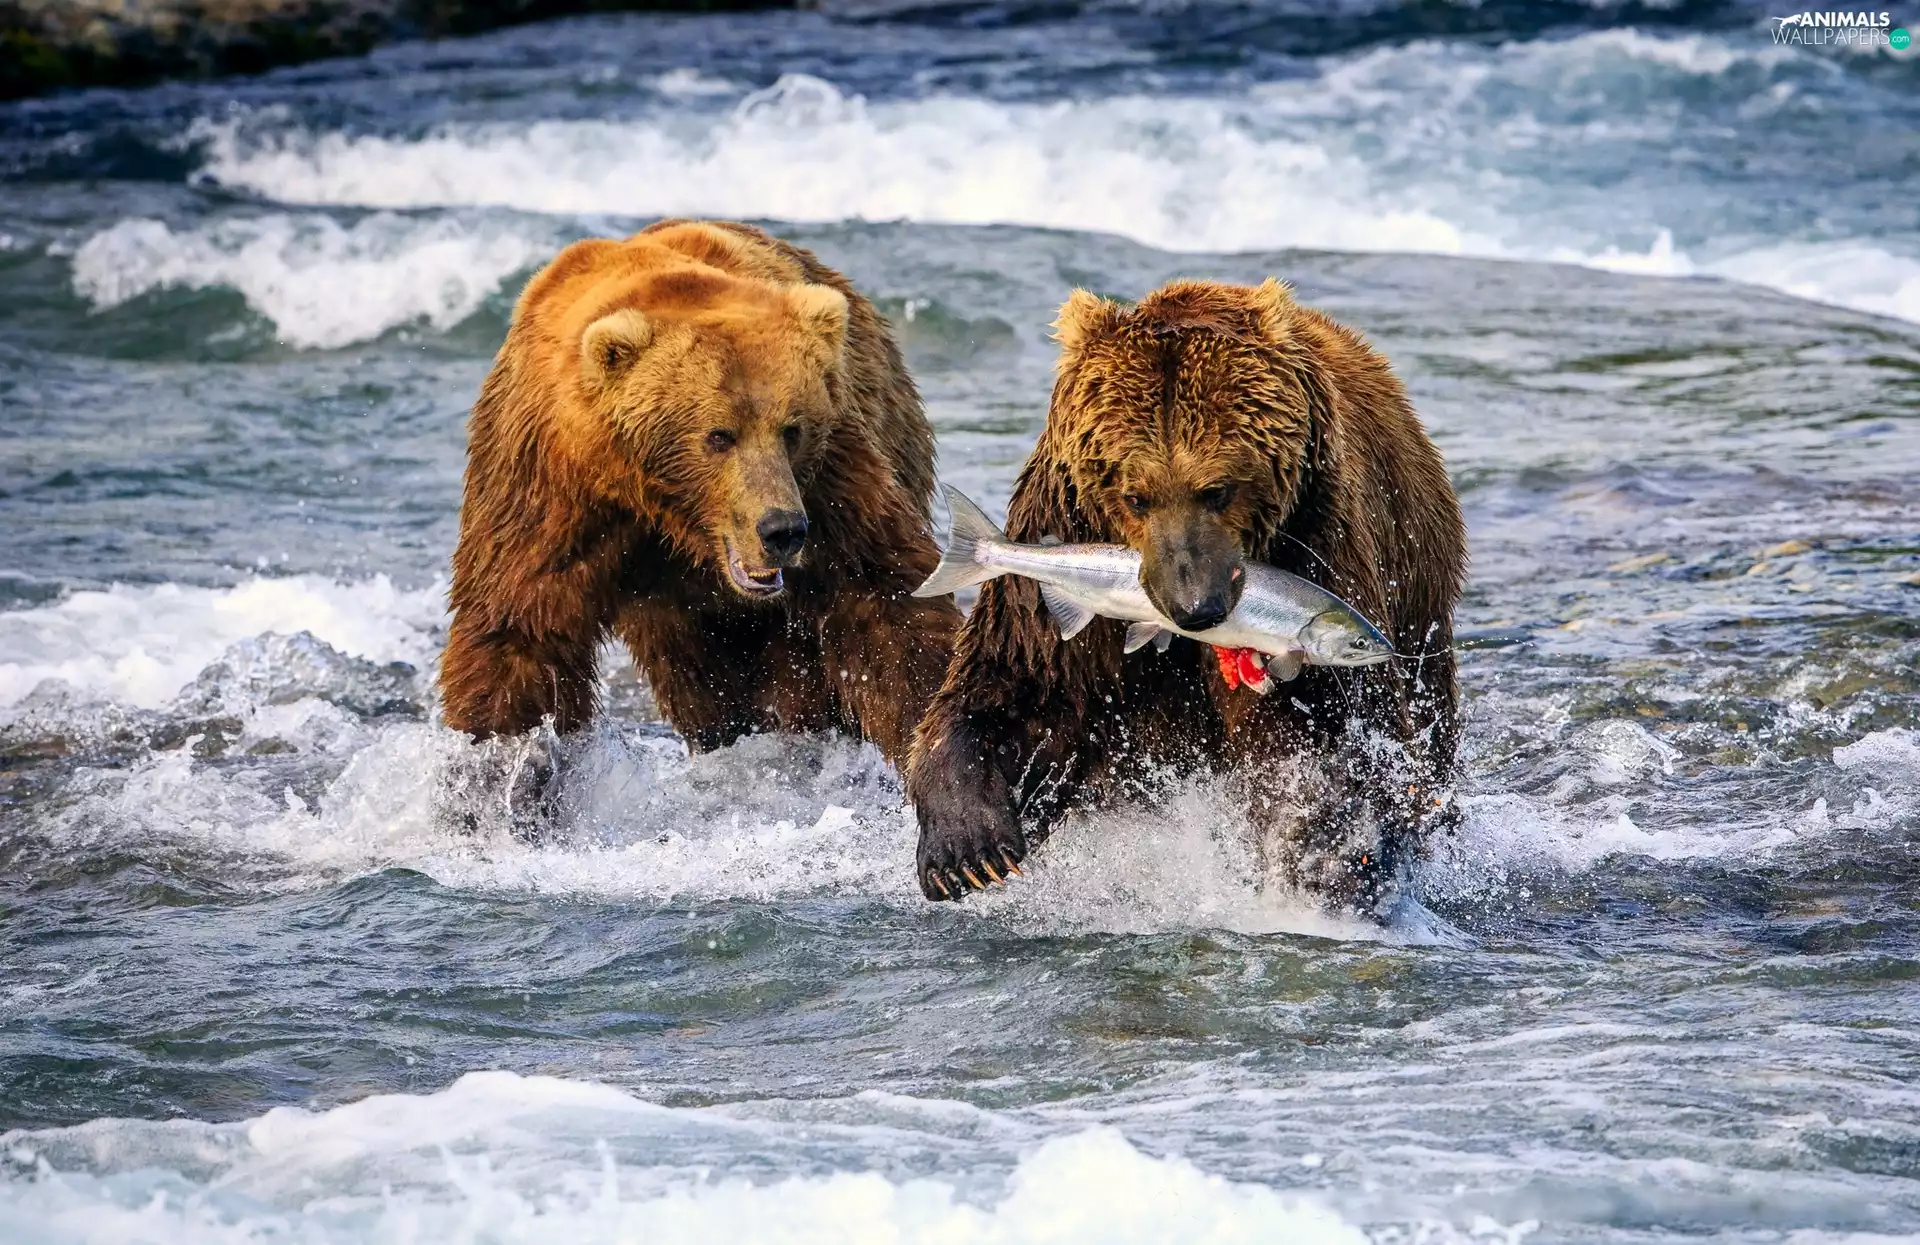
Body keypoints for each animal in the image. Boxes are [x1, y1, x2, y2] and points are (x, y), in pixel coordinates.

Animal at [439, 219, 961, 770]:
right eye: (718, 435)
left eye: (791, 429)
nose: (781, 530)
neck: (665, 507)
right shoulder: (549, 481)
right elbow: (519, 630)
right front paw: (496, 763)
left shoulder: (830, 480)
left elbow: (884, 599)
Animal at [905, 277, 1466, 909]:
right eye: (1135, 494)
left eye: (1217, 489)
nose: (1194, 607)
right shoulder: (1061, 528)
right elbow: (1021, 688)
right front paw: (967, 850)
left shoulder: (1318, 539)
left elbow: (1324, 726)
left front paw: (1328, 851)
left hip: (1419, 597)